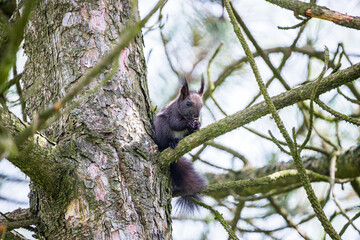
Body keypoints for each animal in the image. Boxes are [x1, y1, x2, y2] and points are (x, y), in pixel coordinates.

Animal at [154, 76, 205, 212]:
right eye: (188, 103)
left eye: (202, 105)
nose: (197, 116)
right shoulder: (172, 114)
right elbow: (175, 123)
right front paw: (189, 123)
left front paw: (197, 125)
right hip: (162, 127)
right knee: (166, 140)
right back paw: (172, 142)